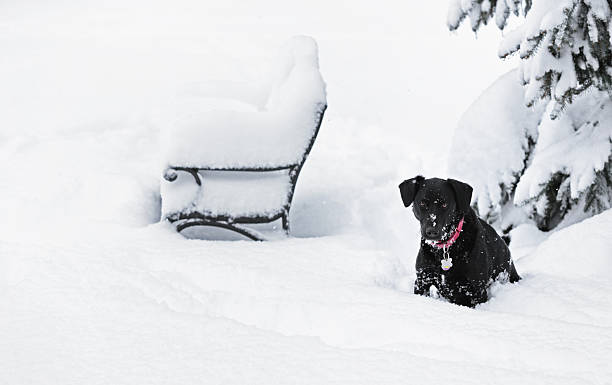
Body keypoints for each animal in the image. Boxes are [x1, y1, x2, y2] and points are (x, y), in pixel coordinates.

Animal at [396, 176, 520, 306]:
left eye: (445, 204)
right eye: (423, 203)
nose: (432, 231)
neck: (445, 247)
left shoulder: (476, 289)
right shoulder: (423, 279)